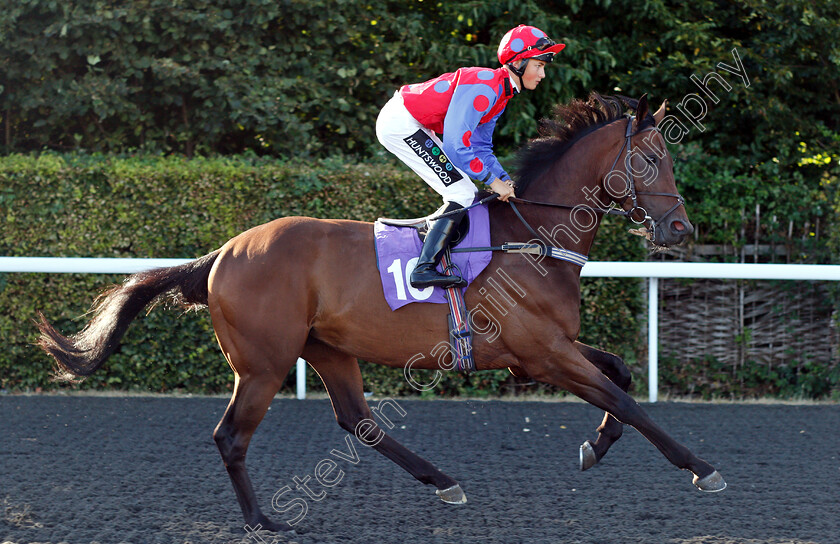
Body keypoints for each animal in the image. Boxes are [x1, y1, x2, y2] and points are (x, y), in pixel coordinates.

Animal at [36, 92, 724, 532]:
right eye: (651, 159)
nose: (681, 228)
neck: (531, 239)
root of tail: (223, 253)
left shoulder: (543, 351)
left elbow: (622, 377)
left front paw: (594, 447)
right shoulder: (542, 355)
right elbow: (629, 401)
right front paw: (701, 468)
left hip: (327, 348)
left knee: (358, 420)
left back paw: (442, 481)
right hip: (263, 364)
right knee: (231, 436)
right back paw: (264, 521)